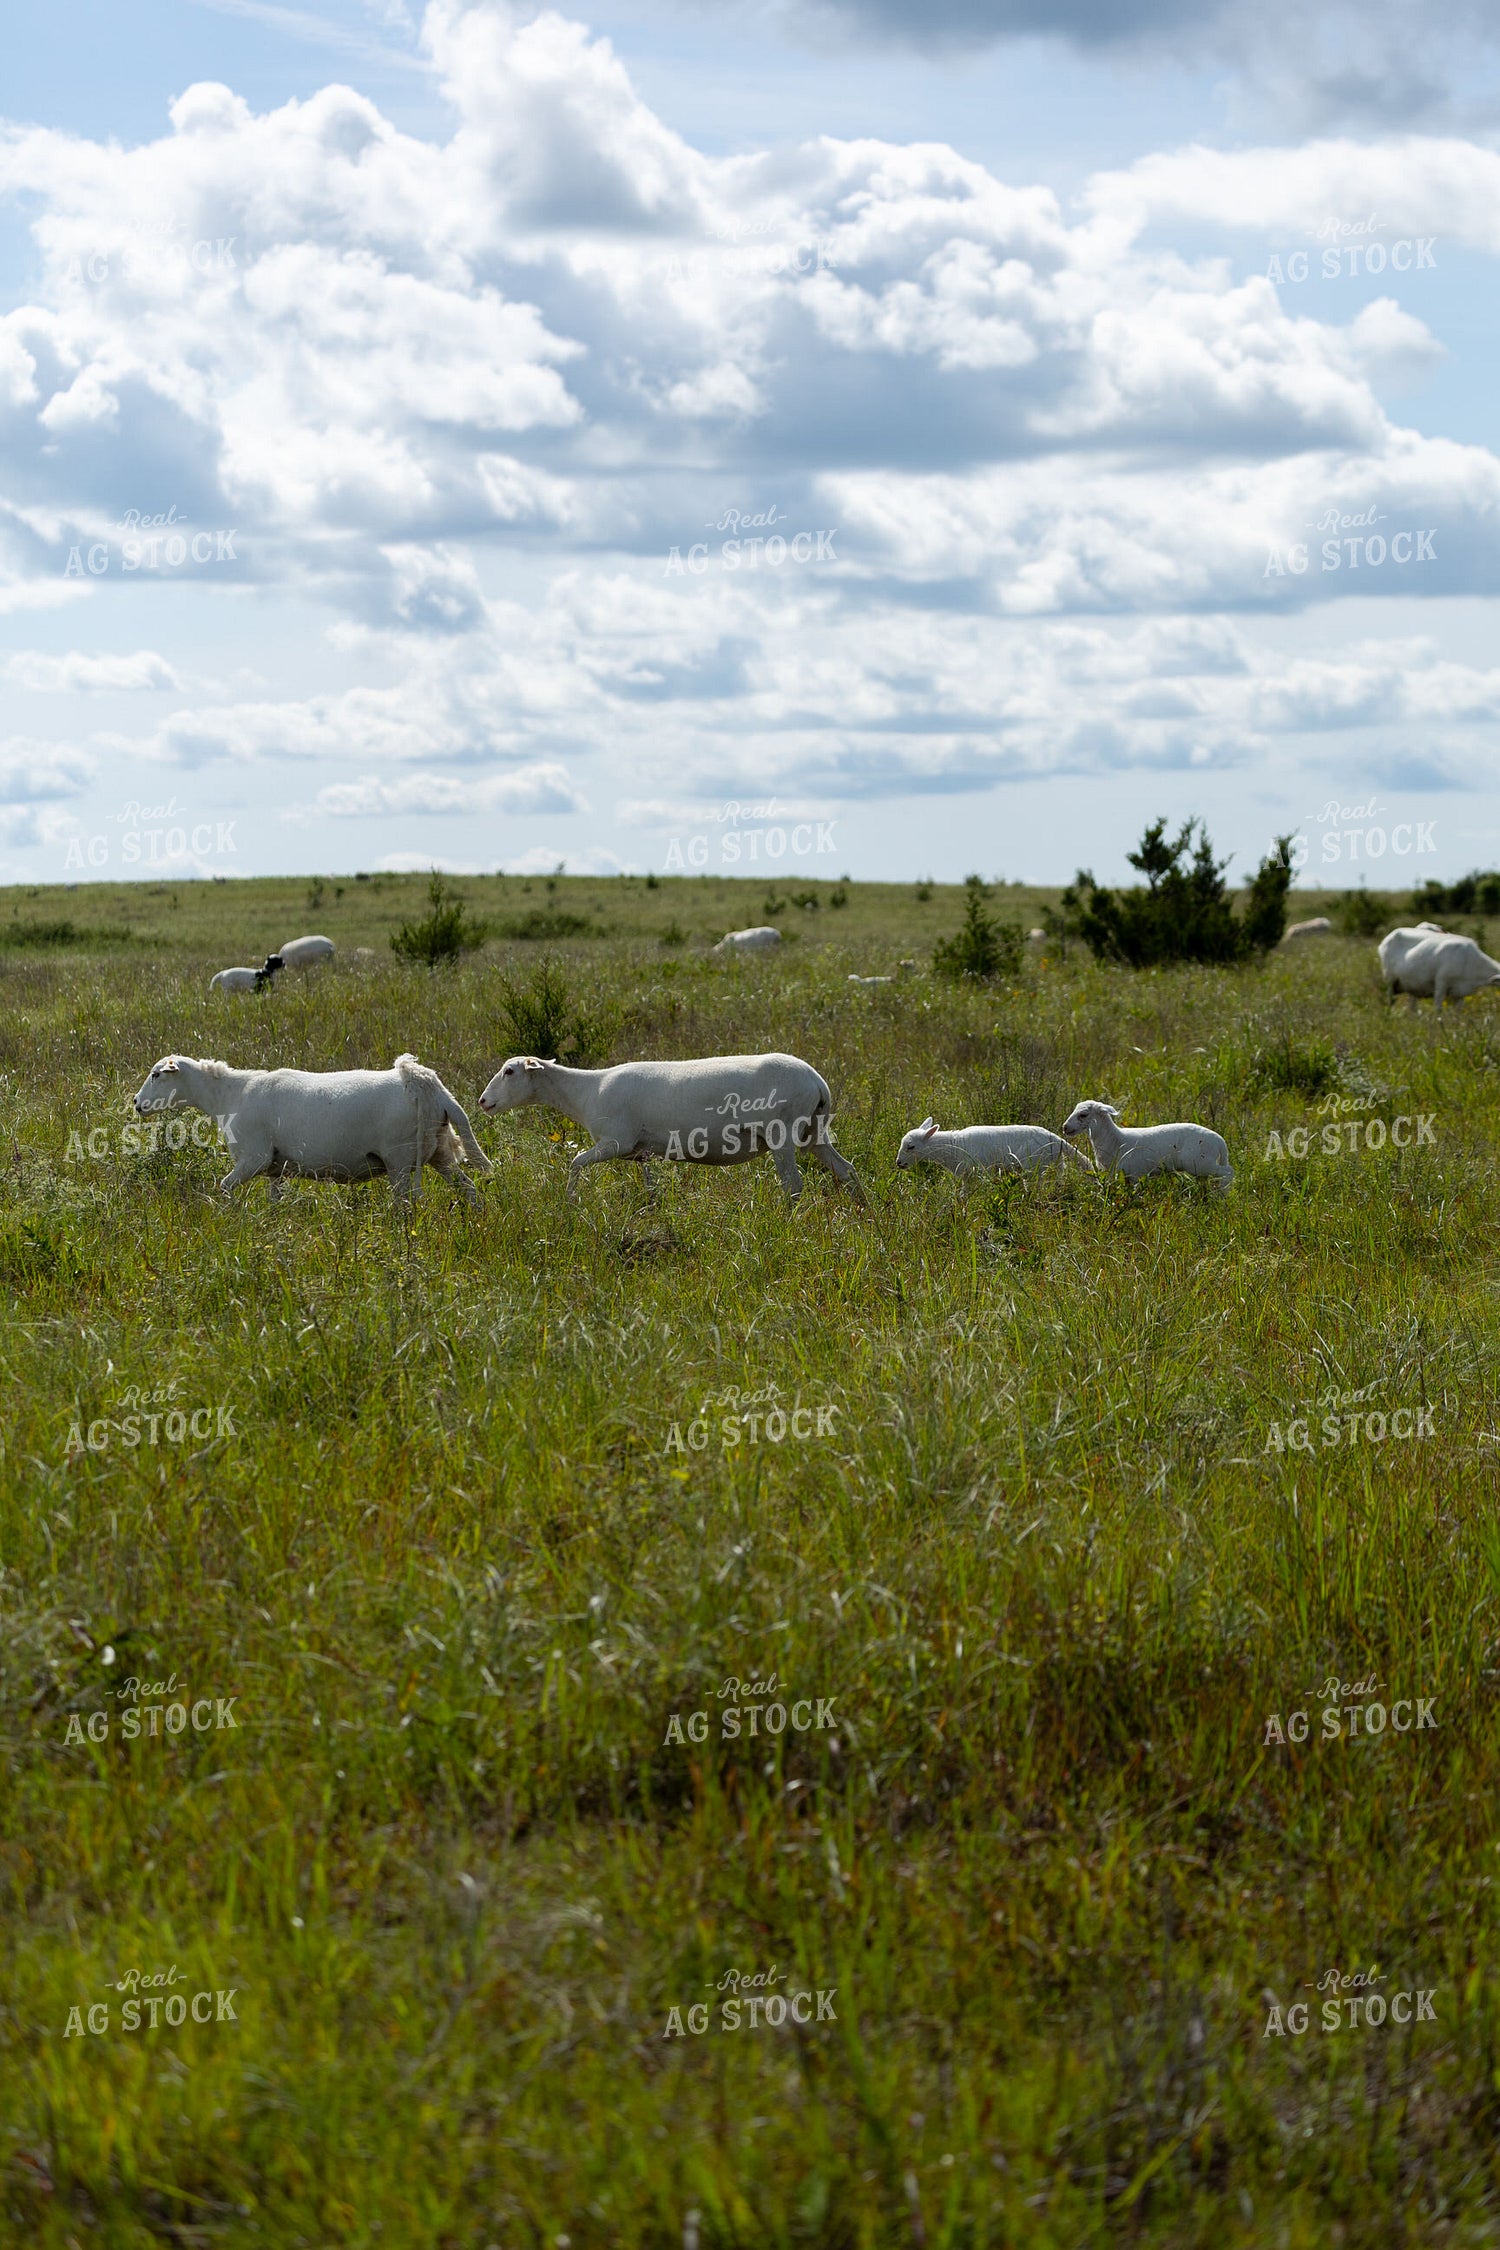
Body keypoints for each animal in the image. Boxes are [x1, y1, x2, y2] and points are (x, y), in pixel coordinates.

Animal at [131, 1051, 491, 1205]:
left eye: (157, 1075)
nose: (136, 1103)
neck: (229, 1095)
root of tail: (425, 1084)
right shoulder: (275, 1168)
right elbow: (274, 1202)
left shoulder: (254, 1158)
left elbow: (224, 1187)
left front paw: (231, 1215)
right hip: (438, 1151)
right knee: (468, 1187)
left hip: (400, 1159)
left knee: (409, 1203)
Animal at [478, 1052, 867, 1205]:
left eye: (510, 1071)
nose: (483, 1102)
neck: (585, 1091)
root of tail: (818, 1083)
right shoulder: (641, 1153)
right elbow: (651, 1187)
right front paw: (652, 1210)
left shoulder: (615, 1142)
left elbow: (574, 1162)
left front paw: (570, 1200)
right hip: (814, 1133)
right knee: (846, 1170)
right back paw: (866, 1211)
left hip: (782, 1133)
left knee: (793, 1185)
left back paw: (790, 1219)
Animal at [896, 1119, 1093, 1176]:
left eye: (910, 1147)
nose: (898, 1163)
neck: (952, 1145)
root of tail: (1056, 1139)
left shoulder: (976, 1171)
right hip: (1057, 1163)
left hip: (1034, 1166)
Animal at [1060, 1100, 1233, 1190]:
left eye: (1083, 1115)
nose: (1065, 1127)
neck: (1116, 1140)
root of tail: (1220, 1141)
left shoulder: (1136, 1175)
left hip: (1200, 1162)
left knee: (1228, 1171)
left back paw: (1221, 1194)